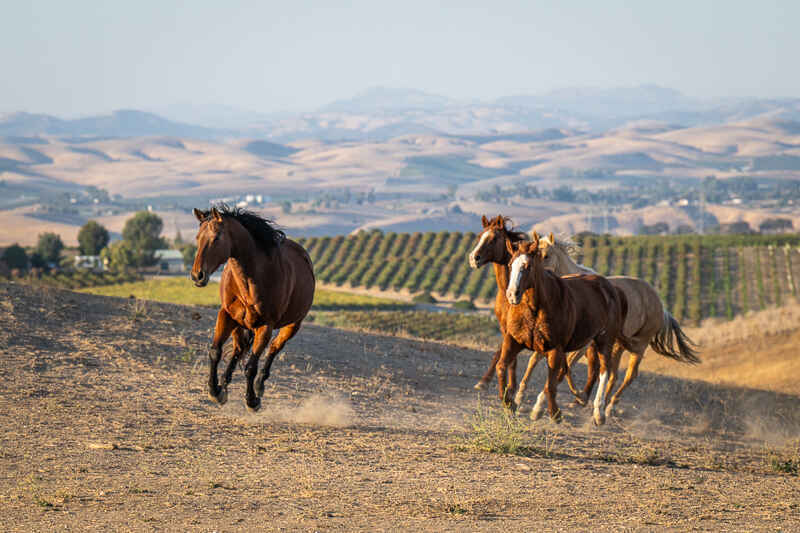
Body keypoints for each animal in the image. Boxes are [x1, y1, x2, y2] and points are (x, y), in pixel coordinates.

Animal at [190, 205, 315, 411]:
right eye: (198, 238)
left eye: (216, 238)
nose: (197, 276)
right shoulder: (226, 315)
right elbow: (215, 351)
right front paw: (215, 391)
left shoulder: (265, 327)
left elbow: (251, 367)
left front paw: (252, 401)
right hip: (239, 324)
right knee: (239, 348)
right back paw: (224, 384)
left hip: (292, 325)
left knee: (273, 348)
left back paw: (258, 386)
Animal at [513, 234, 699, 418]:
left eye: (546, 256)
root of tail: (661, 305)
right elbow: (536, 361)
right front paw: (519, 398)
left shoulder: (581, 345)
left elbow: (566, 368)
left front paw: (543, 404)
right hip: (617, 346)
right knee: (612, 375)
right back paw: (598, 404)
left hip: (638, 347)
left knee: (629, 375)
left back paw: (608, 407)